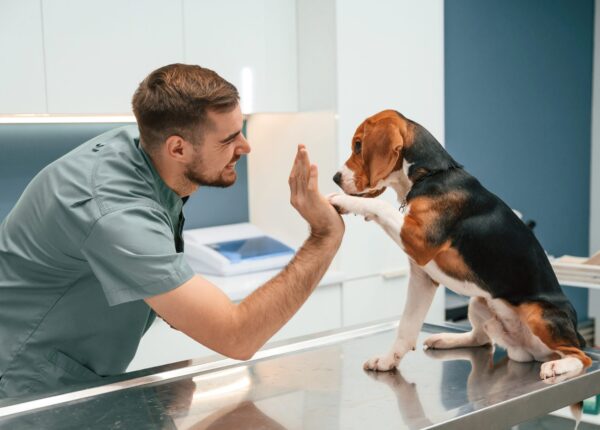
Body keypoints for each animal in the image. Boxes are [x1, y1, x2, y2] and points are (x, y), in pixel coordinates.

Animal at [330, 108, 592, 380]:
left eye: (358, 145)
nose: (335, 178)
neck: (431, 174)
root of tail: (527, 351)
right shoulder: (422, 277)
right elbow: (406, 326)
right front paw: (387, 360)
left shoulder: (418, 240)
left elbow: (379, 205)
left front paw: (343, 201)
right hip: (479, 302)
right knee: (482, 340)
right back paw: (445, 339)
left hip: (538, 313)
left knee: (580, 357)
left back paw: (559, 366)